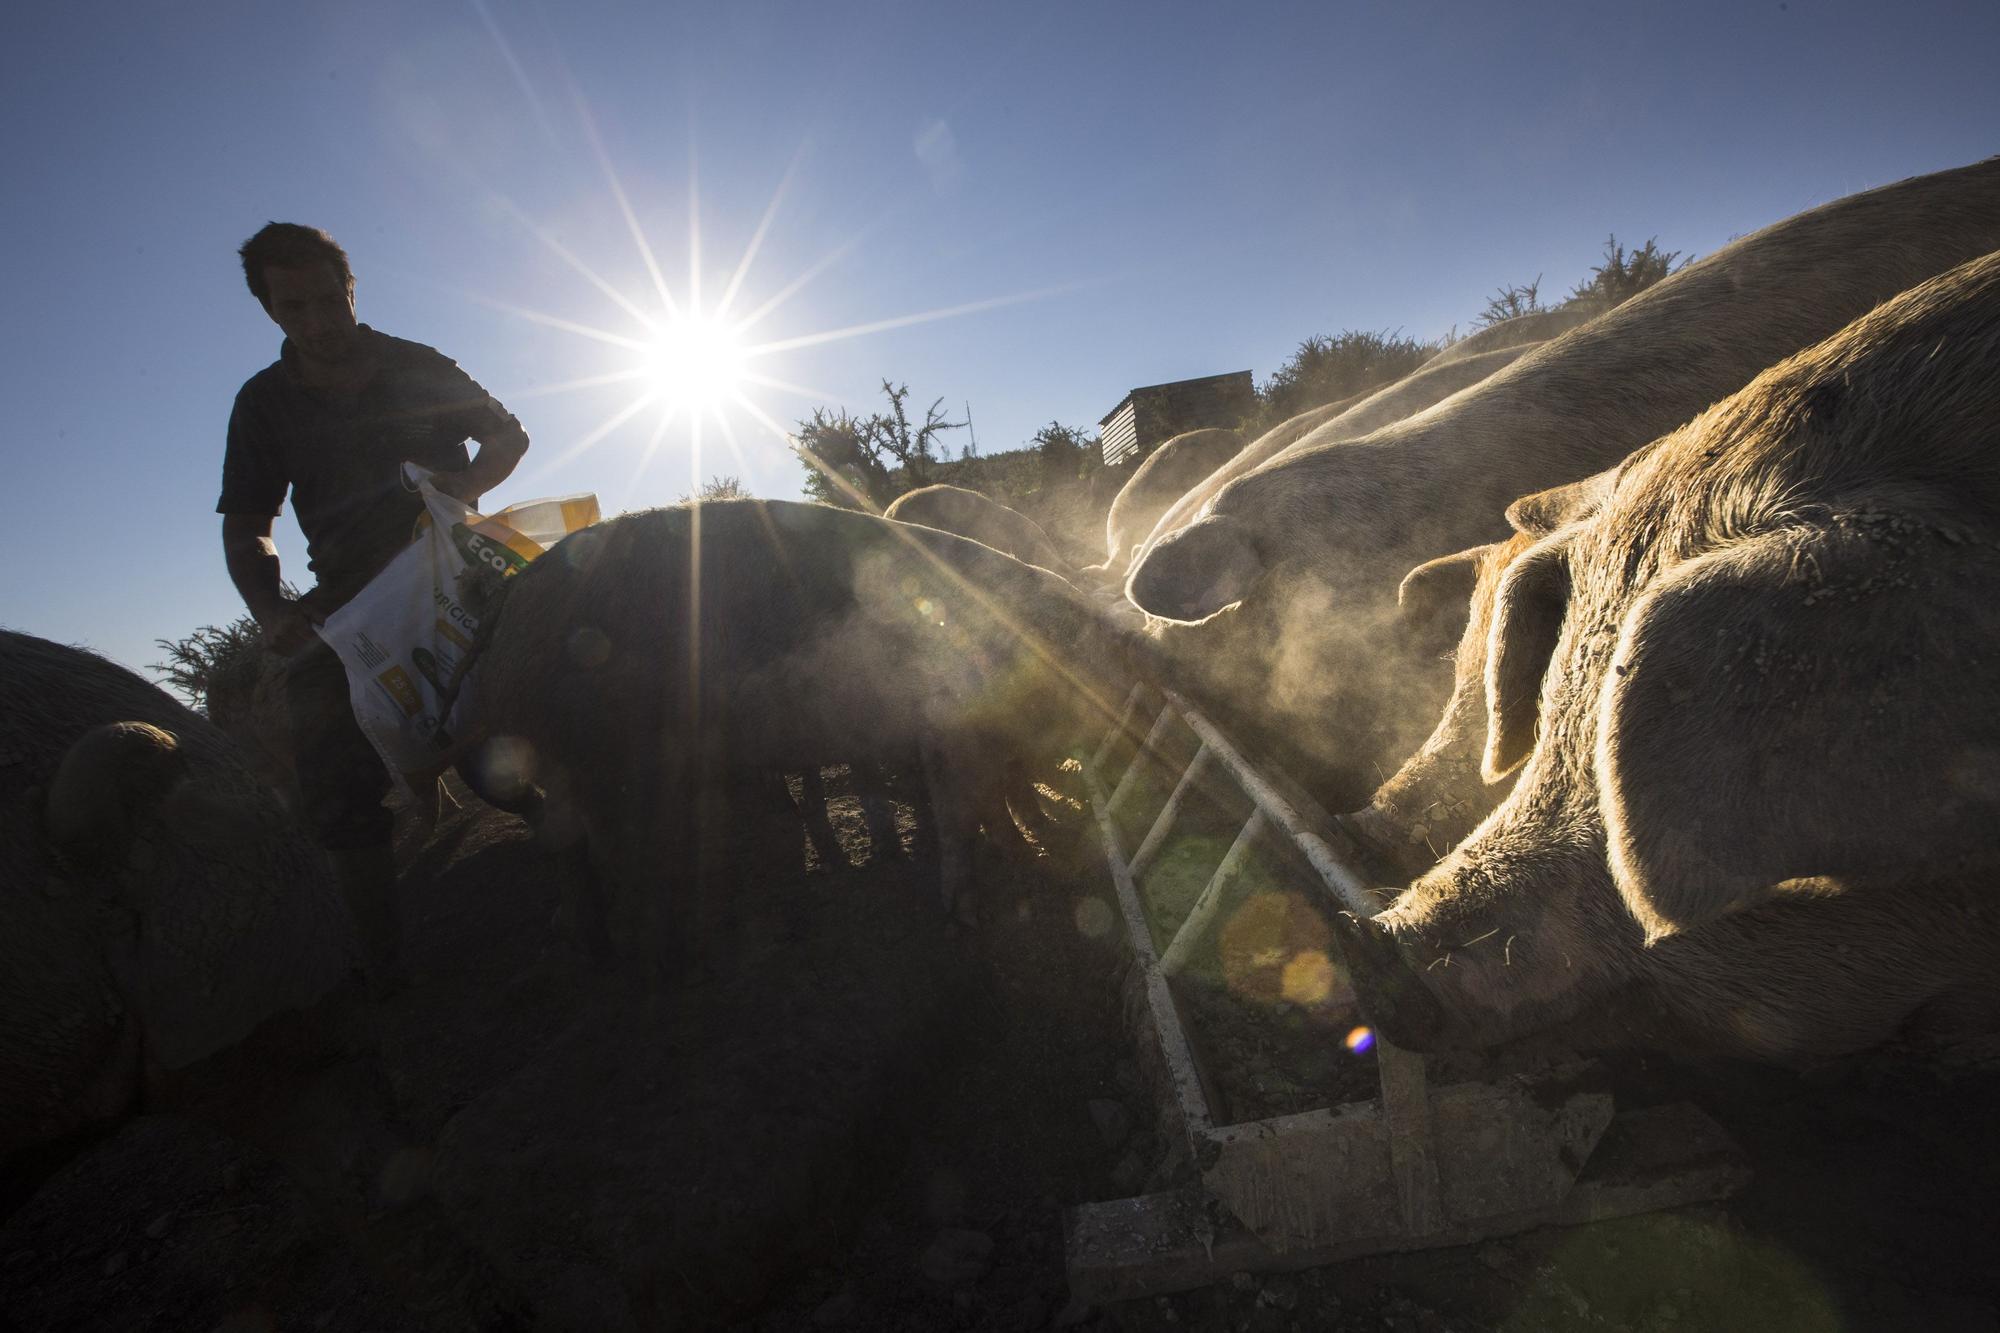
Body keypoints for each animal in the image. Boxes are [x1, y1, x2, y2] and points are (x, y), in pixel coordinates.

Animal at [458, 498, 1144, 964]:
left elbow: (995, 803)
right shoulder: (952, 732)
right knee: (592, 848)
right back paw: (648, 946)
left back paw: (589, 935)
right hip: (590, 757)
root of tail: (506, 603)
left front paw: (1029, 849)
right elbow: (962, 815)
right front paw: (972, 914)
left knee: (569, 846)